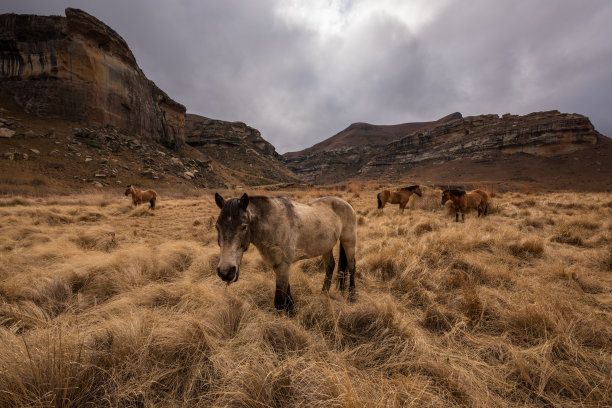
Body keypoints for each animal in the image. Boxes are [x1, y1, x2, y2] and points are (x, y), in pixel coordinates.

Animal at [215, 193, 358, 314]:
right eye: (217, 227)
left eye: (244, 226)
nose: (225, 271)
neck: (273, 225)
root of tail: (347, 204)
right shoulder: (278, 265)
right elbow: (287, 291)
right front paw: (291, 311)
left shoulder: (283, 264)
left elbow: (279, 301)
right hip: (326, 246)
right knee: (330, 266)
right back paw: (323, 294)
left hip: (349, 241)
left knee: (352, 266)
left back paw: (352, 297)